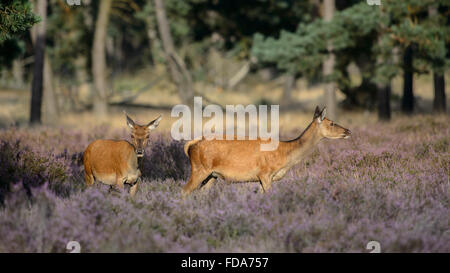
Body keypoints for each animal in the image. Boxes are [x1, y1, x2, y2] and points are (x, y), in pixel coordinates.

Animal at [181, 105, 350, 194]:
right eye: (332, 123)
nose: (348, 131)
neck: (284, 155)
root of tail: (190, 145)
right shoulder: (265, 173)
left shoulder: (262, 178)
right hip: (199, 169)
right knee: (184, 191)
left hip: (212, 175)